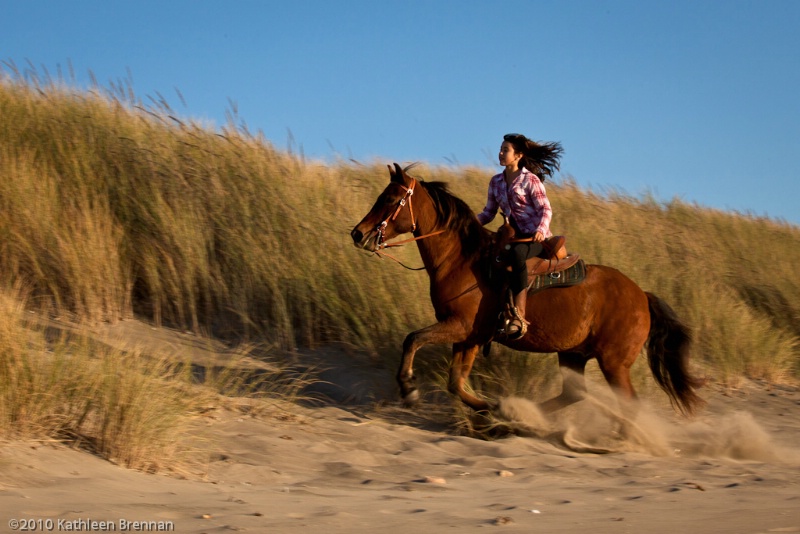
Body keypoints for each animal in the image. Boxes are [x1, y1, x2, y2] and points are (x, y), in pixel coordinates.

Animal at [350, 163, 700, 418]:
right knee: (573, 394)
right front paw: (491, 409)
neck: (461, 260)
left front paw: (409, 389)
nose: (358, 233)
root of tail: (642, 295)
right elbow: (455, 383)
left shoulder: (460, 326)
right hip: (573, 353)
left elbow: (413, 339)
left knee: (628, 403)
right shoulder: (469, 336)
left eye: (390, 199)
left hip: (613, 363)